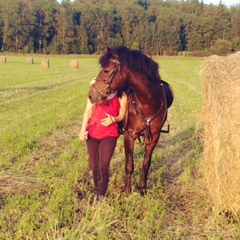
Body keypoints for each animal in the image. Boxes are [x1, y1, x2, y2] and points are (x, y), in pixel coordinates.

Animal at [88, 45, 172, 195]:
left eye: (106, 70)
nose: (91, 95)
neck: (148, 104)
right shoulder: (129, 135)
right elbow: (129, 164)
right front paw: (127, 189)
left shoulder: (154, 138)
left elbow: (146, 163)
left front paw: (142, 188)